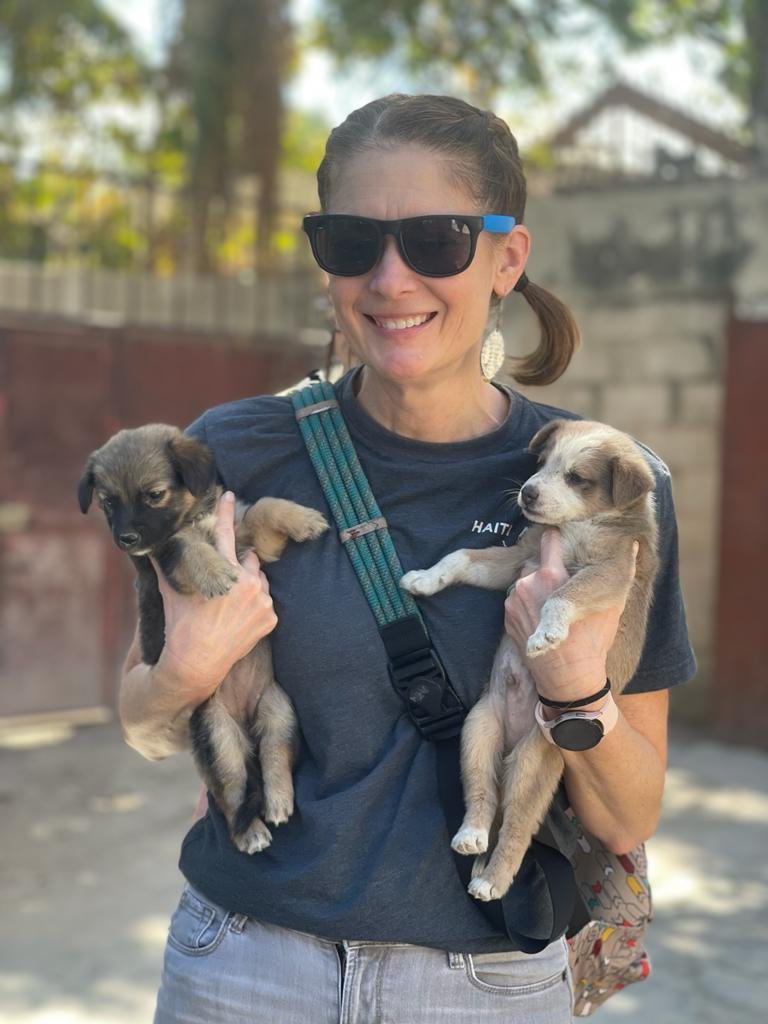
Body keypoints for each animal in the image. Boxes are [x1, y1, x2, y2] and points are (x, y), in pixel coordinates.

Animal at [78, 423, 328, 854]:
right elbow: (187, 547)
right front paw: (215, 573)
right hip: (217, 737)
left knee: (274, 755)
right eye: (108, 502)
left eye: (154, 494)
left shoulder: (253, 538)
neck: (194, 516)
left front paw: (303, 518)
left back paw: (279, 799)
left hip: (279, 711)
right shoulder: (166, 558)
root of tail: (244, 727)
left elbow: (264, 506)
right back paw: (250, 832)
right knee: (232, 797)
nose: (126, 539)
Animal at [401, 419, 659, 901]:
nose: (527, 493)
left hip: (530, 766)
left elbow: (562, 593)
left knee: (517, 829)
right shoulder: (518, 558)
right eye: (541, 463)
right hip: (476, 733)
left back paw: (492, 881)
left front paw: (547, 631)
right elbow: (461, 556)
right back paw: (472, 835)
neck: (578, 525)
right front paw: (424, 580)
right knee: (483, 796)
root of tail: (514, 740)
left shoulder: (610, 572)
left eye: (576, 477)